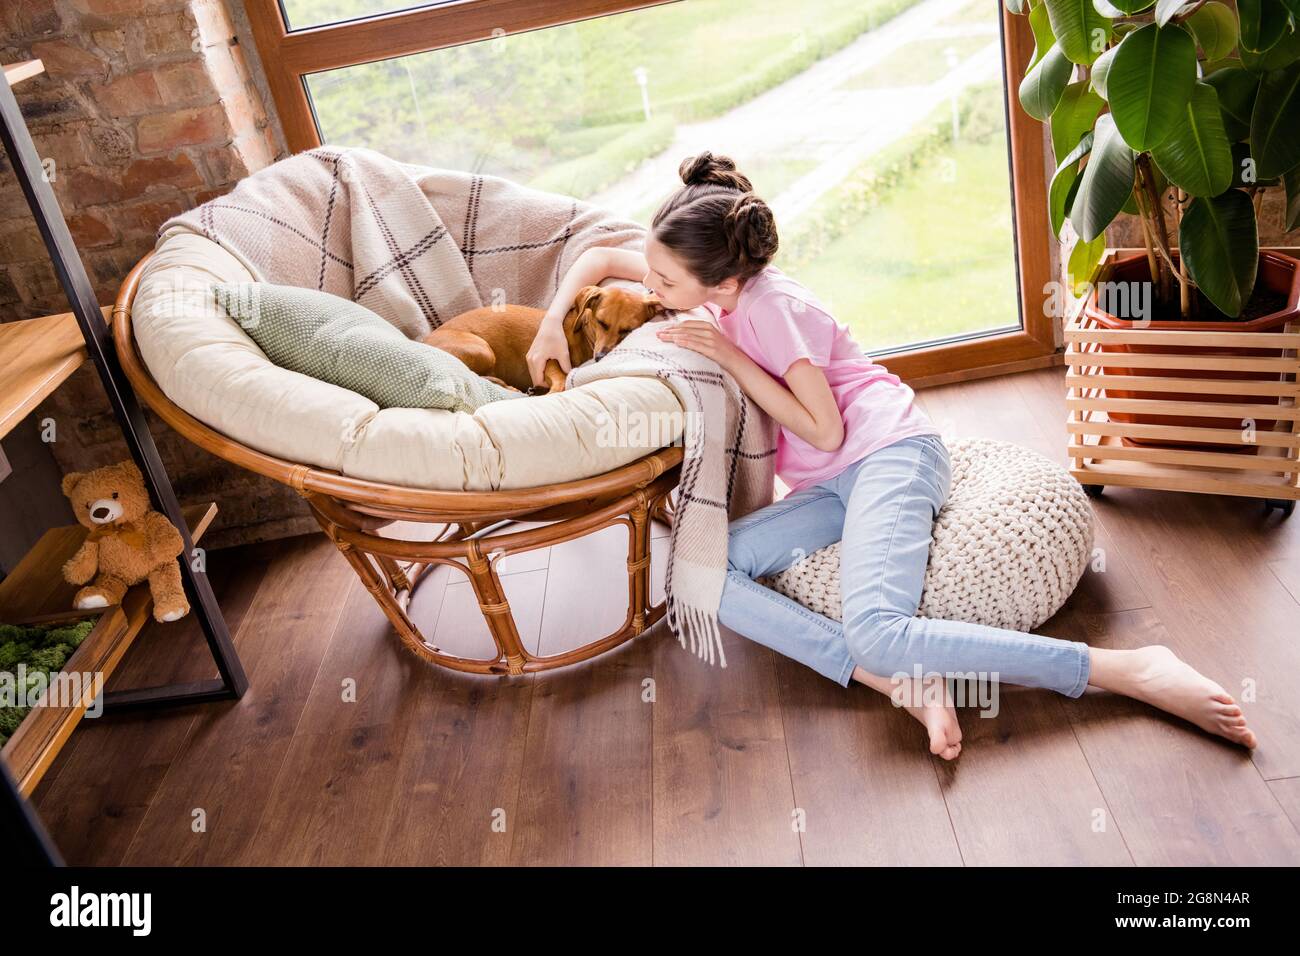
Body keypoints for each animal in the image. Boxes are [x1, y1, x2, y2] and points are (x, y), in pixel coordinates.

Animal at [421, 283, 665, 392]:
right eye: (602, 322)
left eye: (628, 330)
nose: (601, 357)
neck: (584, 339)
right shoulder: (550, 363)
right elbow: (561, 382)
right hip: (482, 349)